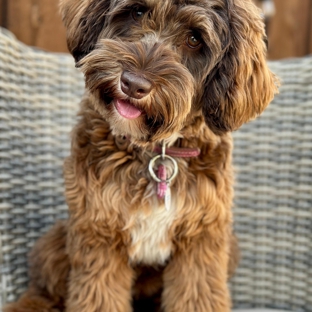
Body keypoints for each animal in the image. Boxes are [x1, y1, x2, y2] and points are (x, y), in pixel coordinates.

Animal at [3, 0, 278, 312]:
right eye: (137, 12)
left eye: (194, 39)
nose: (134, 84)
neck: (156, 150)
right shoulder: (98, 228)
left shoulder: (201, 237)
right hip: (55, 242)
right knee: (45, 288)